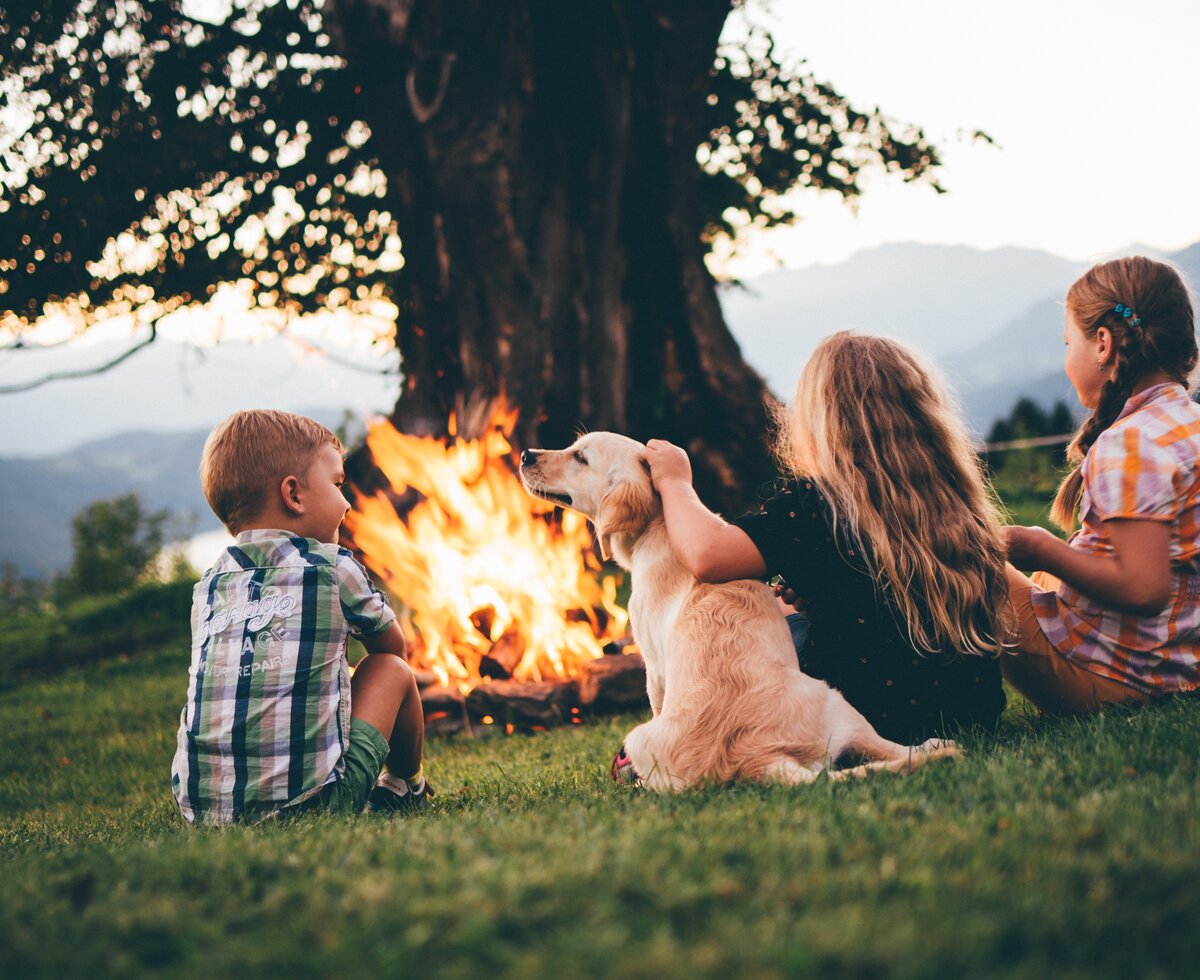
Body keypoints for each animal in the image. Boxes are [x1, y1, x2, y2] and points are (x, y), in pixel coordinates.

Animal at [516, 431, 955, 791]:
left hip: (826, 698)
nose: (524, 454)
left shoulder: (654, 668)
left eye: (580, 457)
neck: (662, 526)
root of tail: (754, 760)